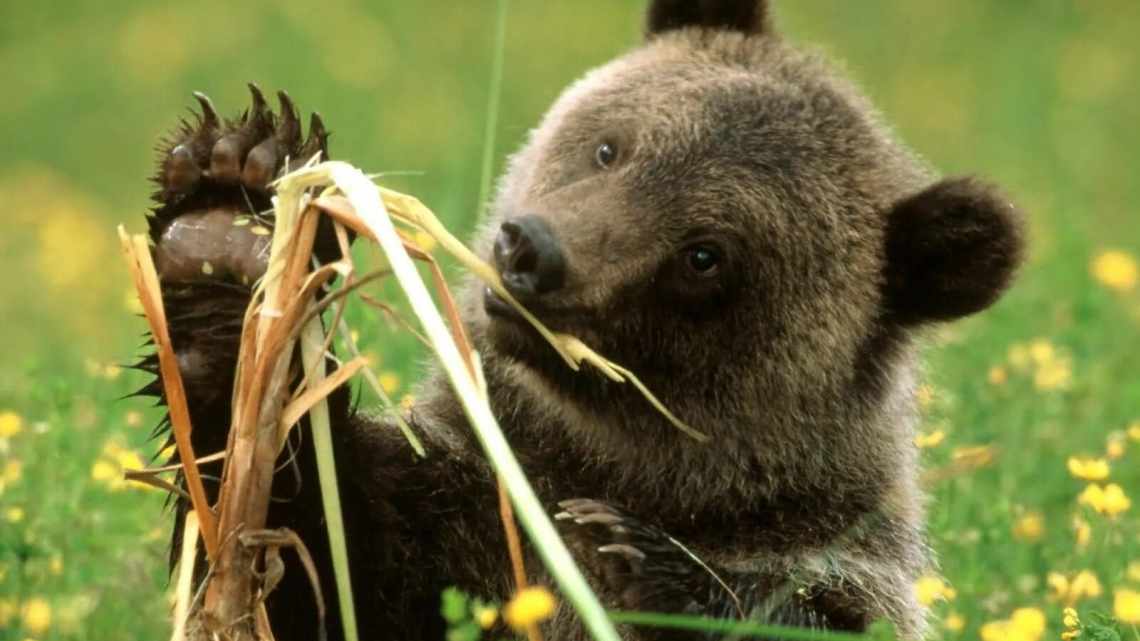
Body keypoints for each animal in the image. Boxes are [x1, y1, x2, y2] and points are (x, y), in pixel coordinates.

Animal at [137, 1, 1030, 638]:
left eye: (706, 254)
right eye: (612, 147)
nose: (532, 251)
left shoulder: (840, 561)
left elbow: (805, 605)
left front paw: (648, 561)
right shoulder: (465, 514)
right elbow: (318, 559)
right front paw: (229, 228)